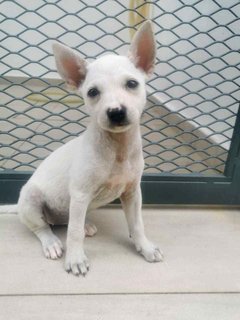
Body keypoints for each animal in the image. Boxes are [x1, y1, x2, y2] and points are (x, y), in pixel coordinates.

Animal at [2, 21, 163, 276]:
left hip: (70, 207)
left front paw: (145, 247)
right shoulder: (80, 194)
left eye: (132, 84)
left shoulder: (132, 193)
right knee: (43, 228)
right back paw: (52, 243)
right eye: (93, 92)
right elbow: (74, 234)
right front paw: (76, 259)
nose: (116, 112)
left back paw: (84, 224)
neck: (117, 149)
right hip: (32, 200)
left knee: (67, 221)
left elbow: (137, 224)